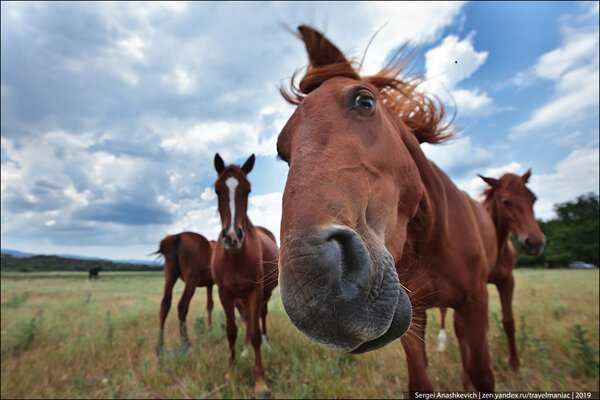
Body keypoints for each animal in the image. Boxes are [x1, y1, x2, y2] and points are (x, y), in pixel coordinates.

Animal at [210, 152, 280, 396]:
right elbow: (232, 331)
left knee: (261, 318)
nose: (232, 237)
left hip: (265, 294)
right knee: (249, 320)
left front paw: (260, 381)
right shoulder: (225, 293)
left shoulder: (255, 291)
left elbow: (256, 331)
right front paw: (231, 370)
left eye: (248, 190)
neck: (235, 256)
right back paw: (246, 350)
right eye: (217, 190)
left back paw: (266, 345)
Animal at [278, 25, 500, 394]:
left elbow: (483, 374)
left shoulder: (476, 302)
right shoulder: (417, 314)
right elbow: (420, 381)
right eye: (282, 151)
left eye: (364, 101)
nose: (314, 293)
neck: (431, 238)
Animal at [438, 170, 548, 378]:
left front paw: (515, 365)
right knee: (444, 313)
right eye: (506, 201)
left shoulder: (506, 281)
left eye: (533, 199)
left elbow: (508, 322)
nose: (535, 242)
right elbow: (461, 327)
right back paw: (442, 343)